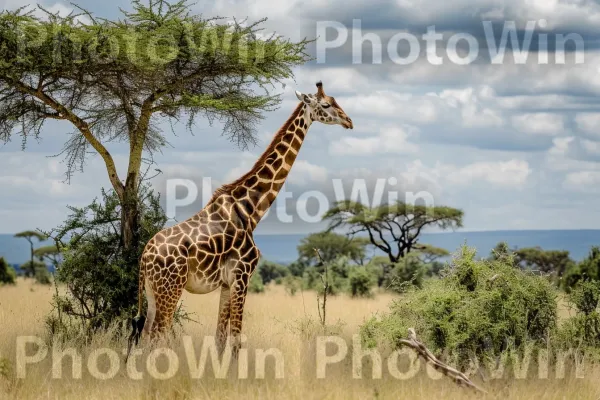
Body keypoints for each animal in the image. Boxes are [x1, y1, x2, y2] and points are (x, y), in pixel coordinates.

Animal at [125, 81, 352, 360]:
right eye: (326, 105)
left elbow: (220, 338)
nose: (349, 121)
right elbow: (235, 340)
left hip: (151, 290)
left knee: (145, 334)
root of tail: (145, 258)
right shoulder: (242, 275)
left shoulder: (226, 282)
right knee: (158, 334)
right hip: (171, 287)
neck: (251, 210)